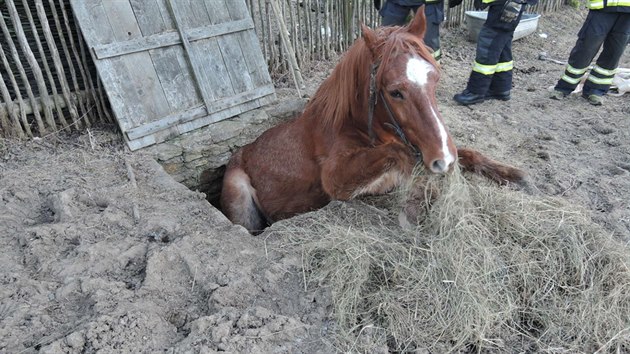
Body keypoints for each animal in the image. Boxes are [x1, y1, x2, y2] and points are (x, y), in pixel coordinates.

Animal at [220, 9, 524, 232]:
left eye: (435, 78)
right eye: (395, 92)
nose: (444, 160)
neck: (352, 126)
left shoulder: (421, 146)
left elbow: (467, 153)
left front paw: (514, 176)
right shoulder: (338, 181)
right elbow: (402, 156)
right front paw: (414, 207)